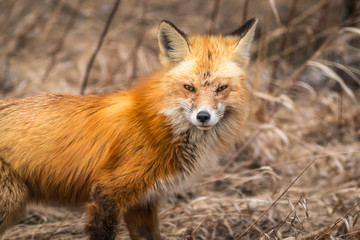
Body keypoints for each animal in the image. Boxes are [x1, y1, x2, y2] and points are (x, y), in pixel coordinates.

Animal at [0, 18, 258, 240]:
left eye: (221, 88)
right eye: (189, 87)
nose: (203, 116)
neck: (163, 125)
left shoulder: (143, 202)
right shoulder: (107, 193)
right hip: (11, 201)